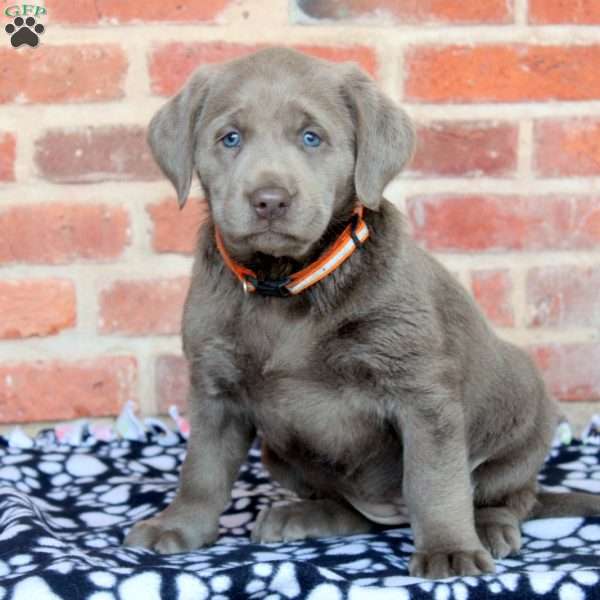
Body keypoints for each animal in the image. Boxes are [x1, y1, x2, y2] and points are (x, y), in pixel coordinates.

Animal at [124, 47, 600, 576]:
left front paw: (449, 550)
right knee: (357, 512)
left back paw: (491, 526)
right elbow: (202, 471)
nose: (269, 200)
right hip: (280, 456)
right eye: (230, 138)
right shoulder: (215, 390)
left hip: (526, 416)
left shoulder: (421, 394)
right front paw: (177, 526)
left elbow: (435, 480)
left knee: (511, 493)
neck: (286, 283)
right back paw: (303, 516)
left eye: (311, 137)